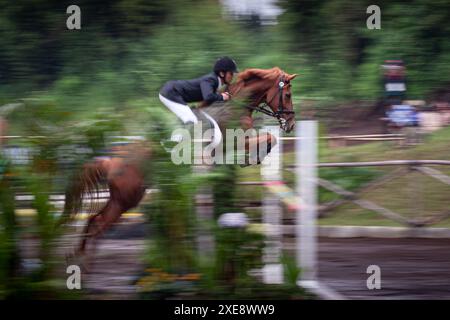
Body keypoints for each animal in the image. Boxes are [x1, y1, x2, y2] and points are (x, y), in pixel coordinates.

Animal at [62, 66, 296, 266]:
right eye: (287, 95)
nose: (291, 124)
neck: (234, 108)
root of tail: (113, 161)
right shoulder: (234, 142)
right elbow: (268, 138)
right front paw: (251, 158)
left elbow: (269, 139)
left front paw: (252, 158)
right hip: (127, 198)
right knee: (99, 224)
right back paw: (84, 262)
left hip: (122, 199)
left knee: (94, 220)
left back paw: (80, 258)